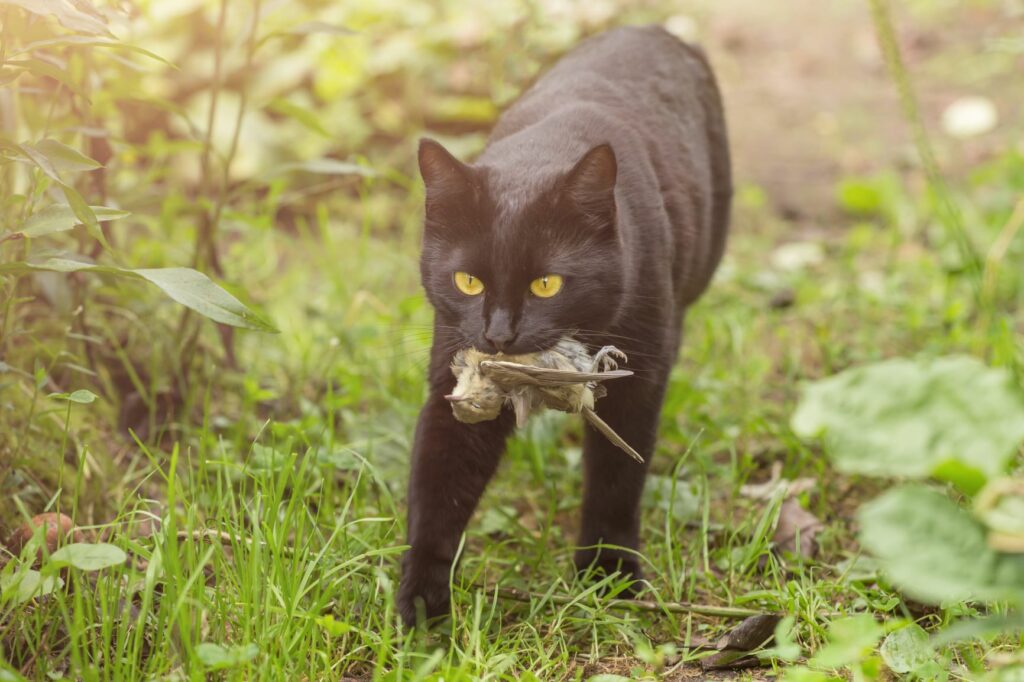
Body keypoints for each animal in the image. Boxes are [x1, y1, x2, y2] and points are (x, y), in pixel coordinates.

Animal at [397, 25, 729, 622]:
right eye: (468, 281)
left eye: (546, 284)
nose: (499, 334)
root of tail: (654, 29)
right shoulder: (454, 378)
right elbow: (437, 485)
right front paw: (421, 600)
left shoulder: (638, 377)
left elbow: (617, 478)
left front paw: (609, 573)